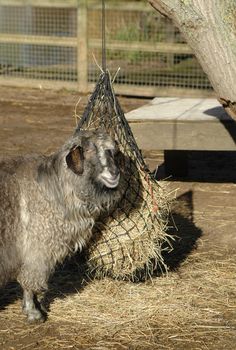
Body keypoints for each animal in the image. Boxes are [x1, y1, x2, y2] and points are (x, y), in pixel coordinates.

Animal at [0, 129, 122, 322]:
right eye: (89, 151)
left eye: (112, 152)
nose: (115, 173)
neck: (57, 187)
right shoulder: (37, 247)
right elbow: (30, 282)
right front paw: (33, 312)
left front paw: (36, 307)